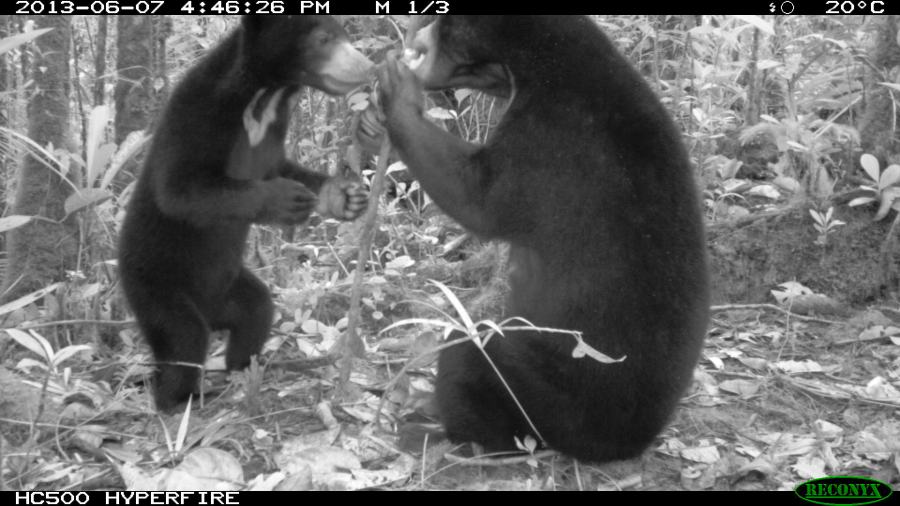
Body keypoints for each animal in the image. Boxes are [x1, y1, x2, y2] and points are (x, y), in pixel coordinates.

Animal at [119, 16, 372, 413]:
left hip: (231, 287)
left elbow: (278, 164)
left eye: (343, 35)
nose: (368, 65)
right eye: (323, 39)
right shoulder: (197, 112)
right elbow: (179, 188)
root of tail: (210, 312)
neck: (266, 95)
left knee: (257, 311)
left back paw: (245, 366)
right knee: (183, 337)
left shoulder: (274, 127)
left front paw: (343, 196)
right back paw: (180, 397)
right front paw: (285, 198)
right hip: (156, 285)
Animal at [363, 15, 710, 462]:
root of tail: (630, 441)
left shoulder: (545, 138)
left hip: (554, 391)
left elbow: (478, 197)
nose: (416, 33)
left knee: (472, 350)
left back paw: (444, 432)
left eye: (442, 26)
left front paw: (396, 90)